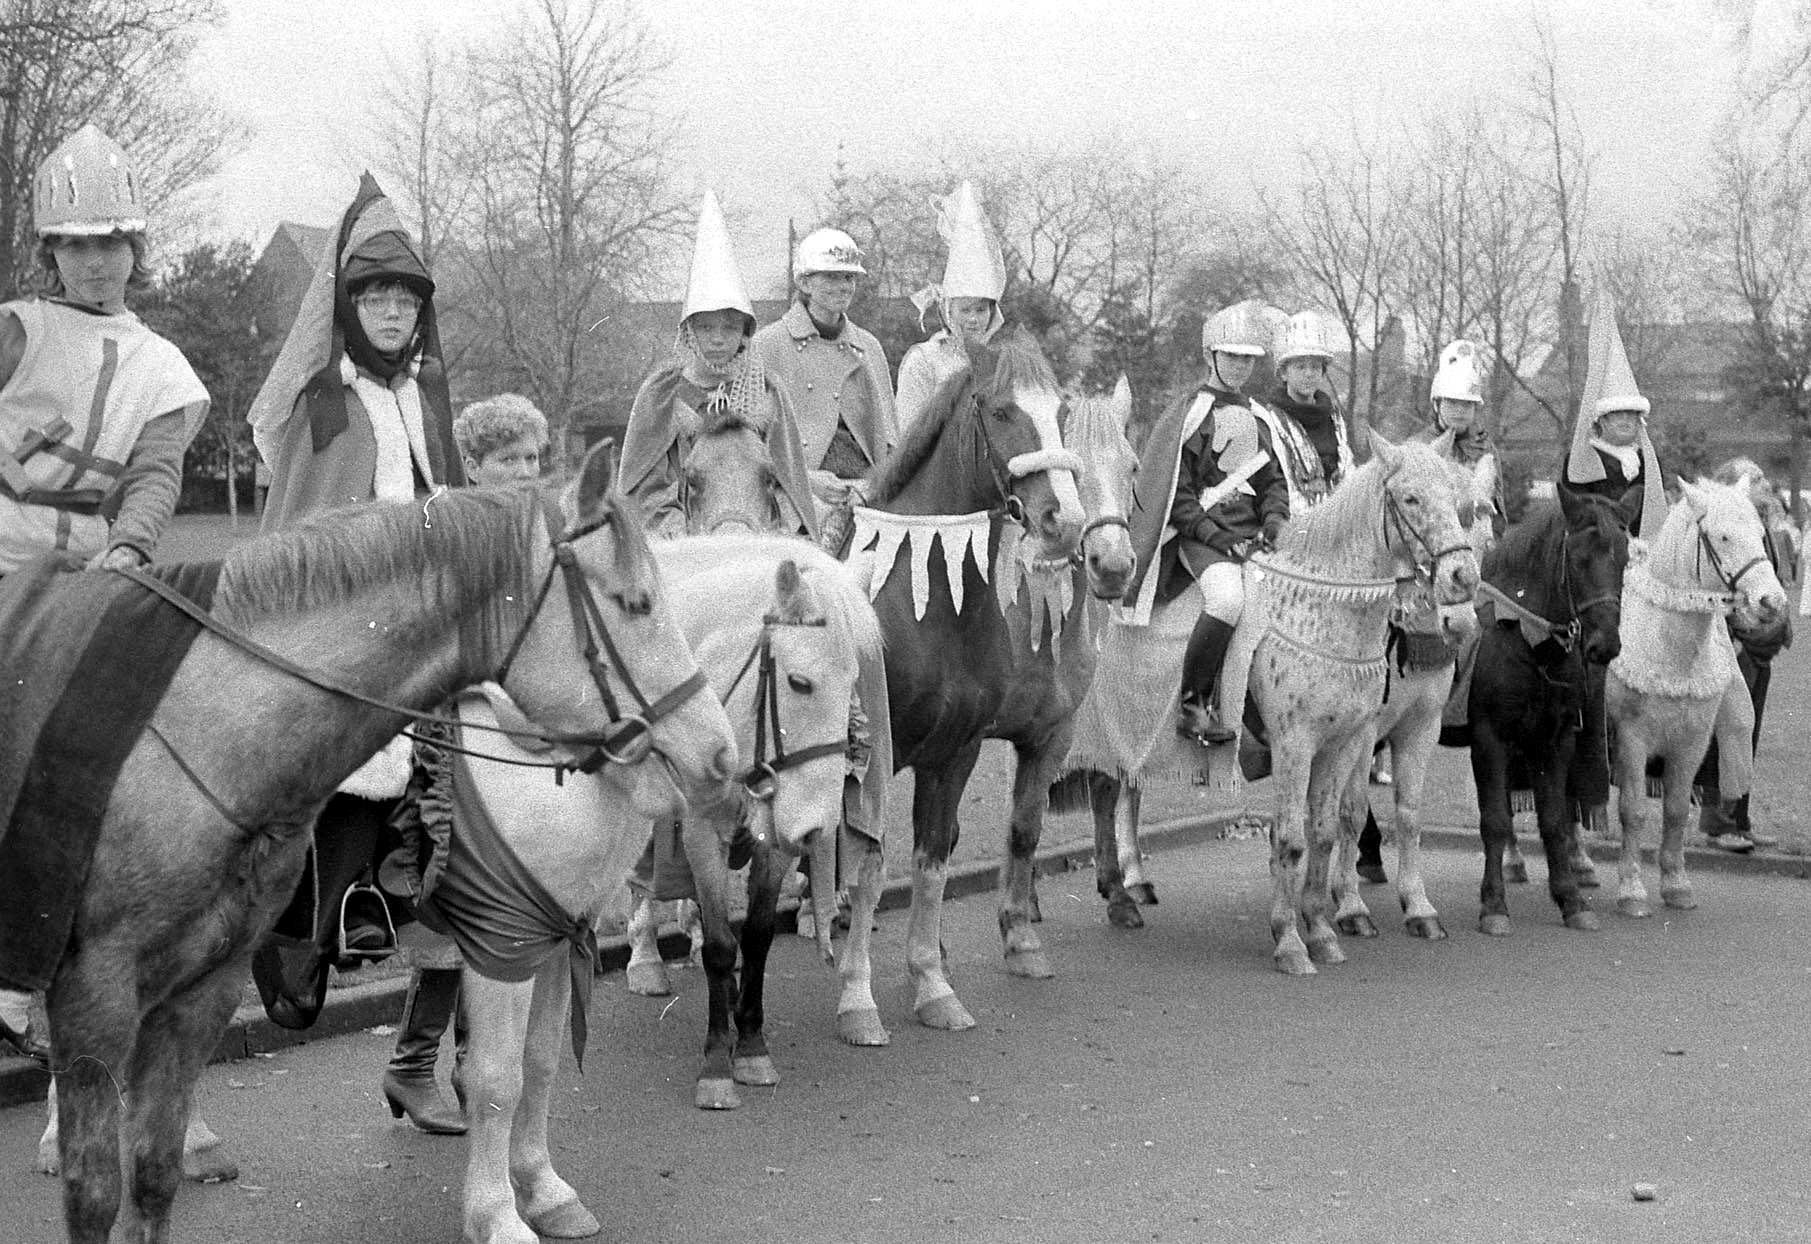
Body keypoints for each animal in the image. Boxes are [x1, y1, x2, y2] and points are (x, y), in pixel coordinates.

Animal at [8, 445, 735, 1244]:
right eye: (635, 603)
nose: (721, 756)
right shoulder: (501, 944)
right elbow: (496, 1079)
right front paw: (497, 1213)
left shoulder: (548, 941)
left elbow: (539, 1066)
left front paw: (543, 1188)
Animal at [452, 535, 876, 1244]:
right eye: (799, 681)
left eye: (853, 684)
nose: (817, 828)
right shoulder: (700, 829)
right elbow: (723, 947)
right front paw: (717, 1066)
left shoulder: (767, 834)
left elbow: (759, 937)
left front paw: (751, 1044)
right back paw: (647, 962)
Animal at [836, 325, 1079, 1035]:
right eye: (1000, 412)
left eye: (1061, 411)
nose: (1064, 521)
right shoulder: (870, 762)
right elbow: (869, 868)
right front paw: (858, 998)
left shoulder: (954, 755)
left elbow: (932, 863)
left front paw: (932, 983)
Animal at [1463, 485, 1637, 934]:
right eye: (1578, 558)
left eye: (1624, 558)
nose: (1605, 645)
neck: (1525, 635)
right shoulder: (1488, 738)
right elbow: (1495, 820)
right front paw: (1493, 905)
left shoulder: (1553, 740)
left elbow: (1555, 821)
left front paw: (1571, 899)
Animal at [1608, 481, 1789, 919]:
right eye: (1722, 537)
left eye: (1761, 534)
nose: (1772, 602)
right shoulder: (1632, 738)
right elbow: (1633, 811)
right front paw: (1632, 890)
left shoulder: (1692, 741)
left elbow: (1675, 810)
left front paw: (1676, 884)